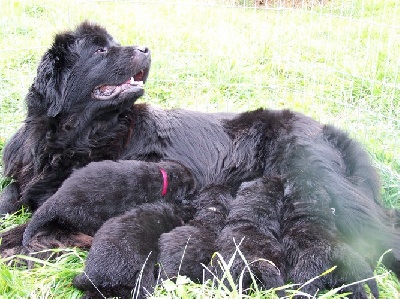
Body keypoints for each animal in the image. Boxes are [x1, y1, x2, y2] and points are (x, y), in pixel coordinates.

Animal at [0, 21, 400, 298]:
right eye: (100, 50)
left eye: (112, 44)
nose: (145, 48)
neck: (76, 136)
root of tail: (325, 129)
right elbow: (13, 197)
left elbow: (30, 225)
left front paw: (17, 248)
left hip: (328, 187)